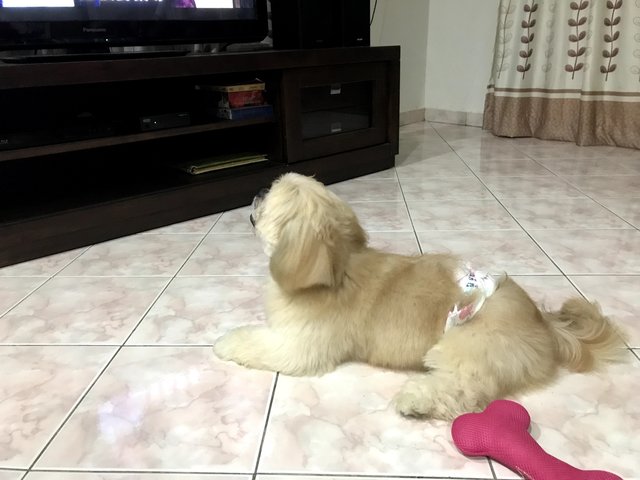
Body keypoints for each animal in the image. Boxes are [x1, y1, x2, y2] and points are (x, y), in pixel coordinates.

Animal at [214, 172, 624, 420]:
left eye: (269, 198)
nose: (257, 191)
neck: (338, 267)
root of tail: (544, 323)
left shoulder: (297, 347)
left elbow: (251, 340)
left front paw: (224, 341)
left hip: (465, 346)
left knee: (464, 391)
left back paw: (417, 400)